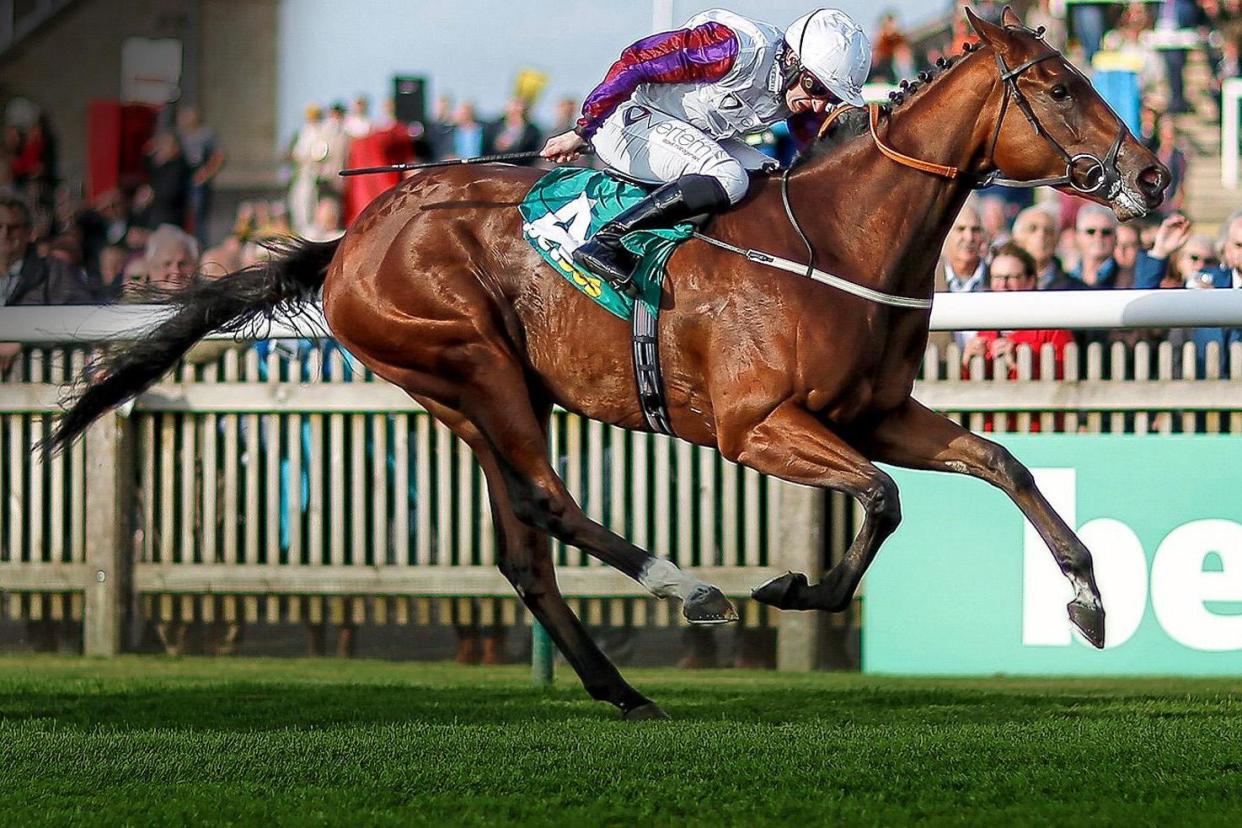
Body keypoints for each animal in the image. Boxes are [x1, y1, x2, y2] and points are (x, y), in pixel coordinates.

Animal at [50, 8, 1172, 720]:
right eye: (1061, 86)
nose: (1155, 174)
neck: (838, 239)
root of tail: (354, 235)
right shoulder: (756, 426)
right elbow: (883, 500)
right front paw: (790, 588)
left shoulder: (873, 411)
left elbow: (1001, 463)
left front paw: (1088, 600)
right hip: (473, 362)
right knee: (549, 504)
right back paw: (689, 588)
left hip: (466, 395)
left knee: (525, 545)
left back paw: (620, 688)